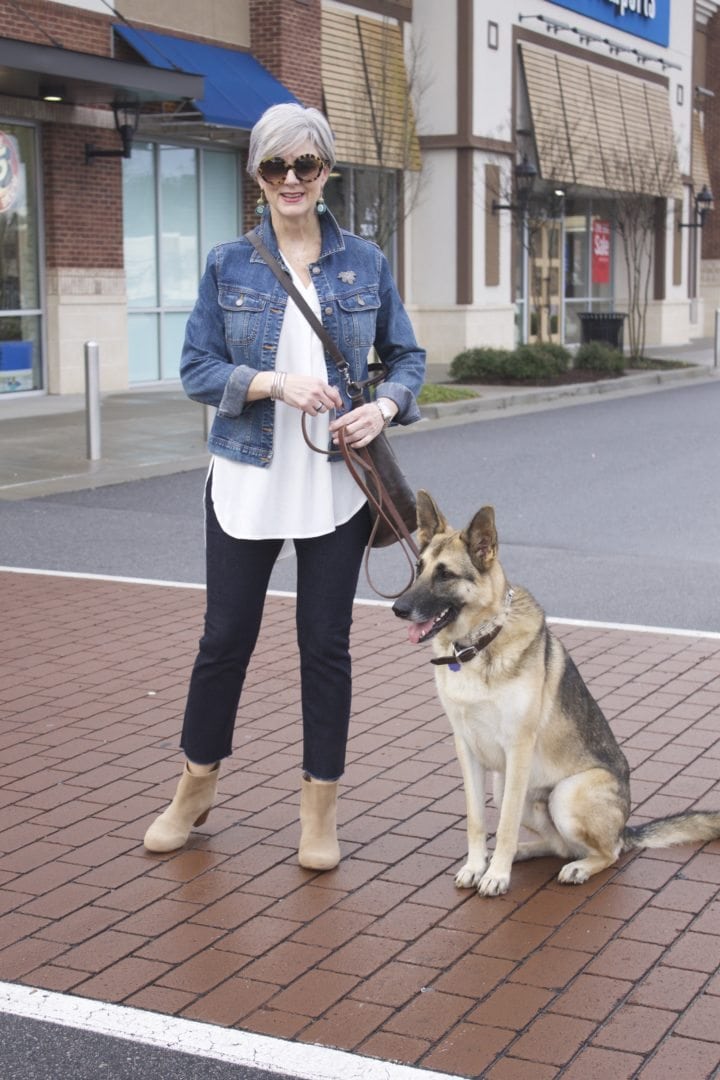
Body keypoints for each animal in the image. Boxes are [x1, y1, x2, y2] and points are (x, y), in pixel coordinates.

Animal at [390, 494, 720, 898]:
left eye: (445, 575)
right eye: (419, 568)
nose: (398, 609)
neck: (477, 646)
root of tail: (625, 828)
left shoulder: (518, 749)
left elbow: (505, 824)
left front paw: (496, 875)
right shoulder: (466, 749)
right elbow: (477, 819)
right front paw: (476, 866)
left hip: (566, 794)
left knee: (606, 852)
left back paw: (575, 867)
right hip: (506, 787)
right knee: (560, 845)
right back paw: (522, 853)